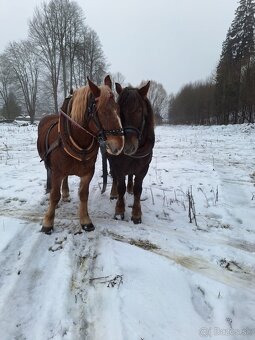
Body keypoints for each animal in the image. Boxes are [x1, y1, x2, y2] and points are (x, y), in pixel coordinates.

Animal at [37, 75, 124, 232]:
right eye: (102, 111)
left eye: (118, 109)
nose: (118, 146)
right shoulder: (57, 172)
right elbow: (54, 196)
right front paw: (48, 222)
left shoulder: (88, 172)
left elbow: (83, 195)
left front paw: (85, 221)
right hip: (49, 165)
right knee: (50, 176)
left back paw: (65, 193)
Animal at [107, 81, 154, 224]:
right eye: (119, 110)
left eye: (139, 110)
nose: (127, 146)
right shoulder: (118, 165)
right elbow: (120, 186)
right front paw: (119, 210)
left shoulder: (143, 168)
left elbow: (138, 189)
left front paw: (136, 213)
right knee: (115, 177)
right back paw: (113, 193)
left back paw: (130, 188)